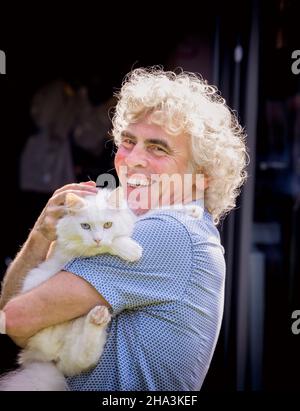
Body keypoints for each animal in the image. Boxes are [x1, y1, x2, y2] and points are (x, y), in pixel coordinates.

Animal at [0, 188, 142, 392]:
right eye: (85, 226)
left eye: (108, 224)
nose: (97, 239)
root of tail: (49, 358)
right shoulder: (74, 249)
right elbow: (109, 245)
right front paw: (131, 250)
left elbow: (111, 240)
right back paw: (98, 317)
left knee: (83, 356)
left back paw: (98, 317)